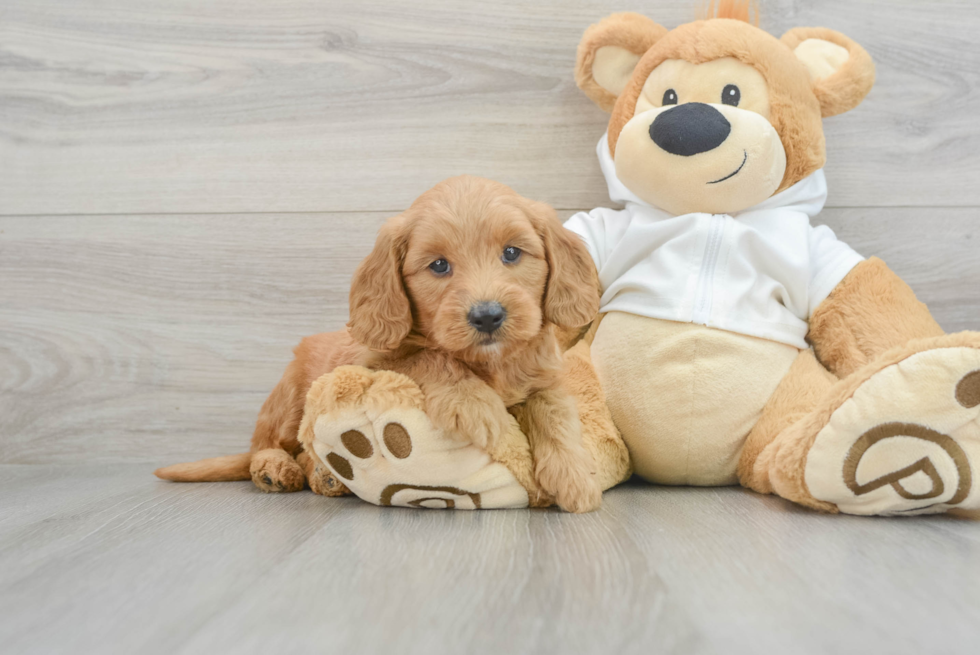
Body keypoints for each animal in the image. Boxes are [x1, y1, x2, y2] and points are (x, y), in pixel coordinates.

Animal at [156, 176, 600, 512]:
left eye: (511, 253)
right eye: (439, 265)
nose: (488, 316)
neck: (489, 362)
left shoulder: (545, 376)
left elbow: (555, 414)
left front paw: (574, 476)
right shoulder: (372, 361)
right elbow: (427, 355)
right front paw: (478, 406)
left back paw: (323, 476)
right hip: (290, 398)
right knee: (272, 445)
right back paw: (279, 469)